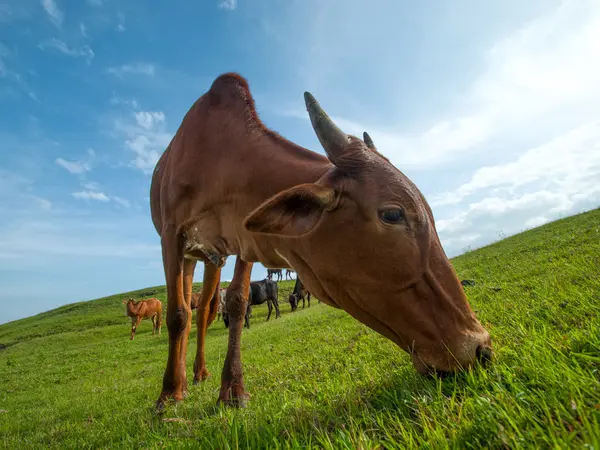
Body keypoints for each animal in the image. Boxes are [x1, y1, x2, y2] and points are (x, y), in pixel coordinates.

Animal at [150, 73, 492, 412]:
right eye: (393, 214)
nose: (480, 348)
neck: (220, 159)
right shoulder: (171, 237)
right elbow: (177, 315)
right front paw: (168, 395)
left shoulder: (243, 241)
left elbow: (236, 303)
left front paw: (233, 389)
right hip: (190, 256)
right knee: (190, 312)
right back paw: (183, 381)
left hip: (213, 259)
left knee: (205, 311)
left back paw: (200, 372)